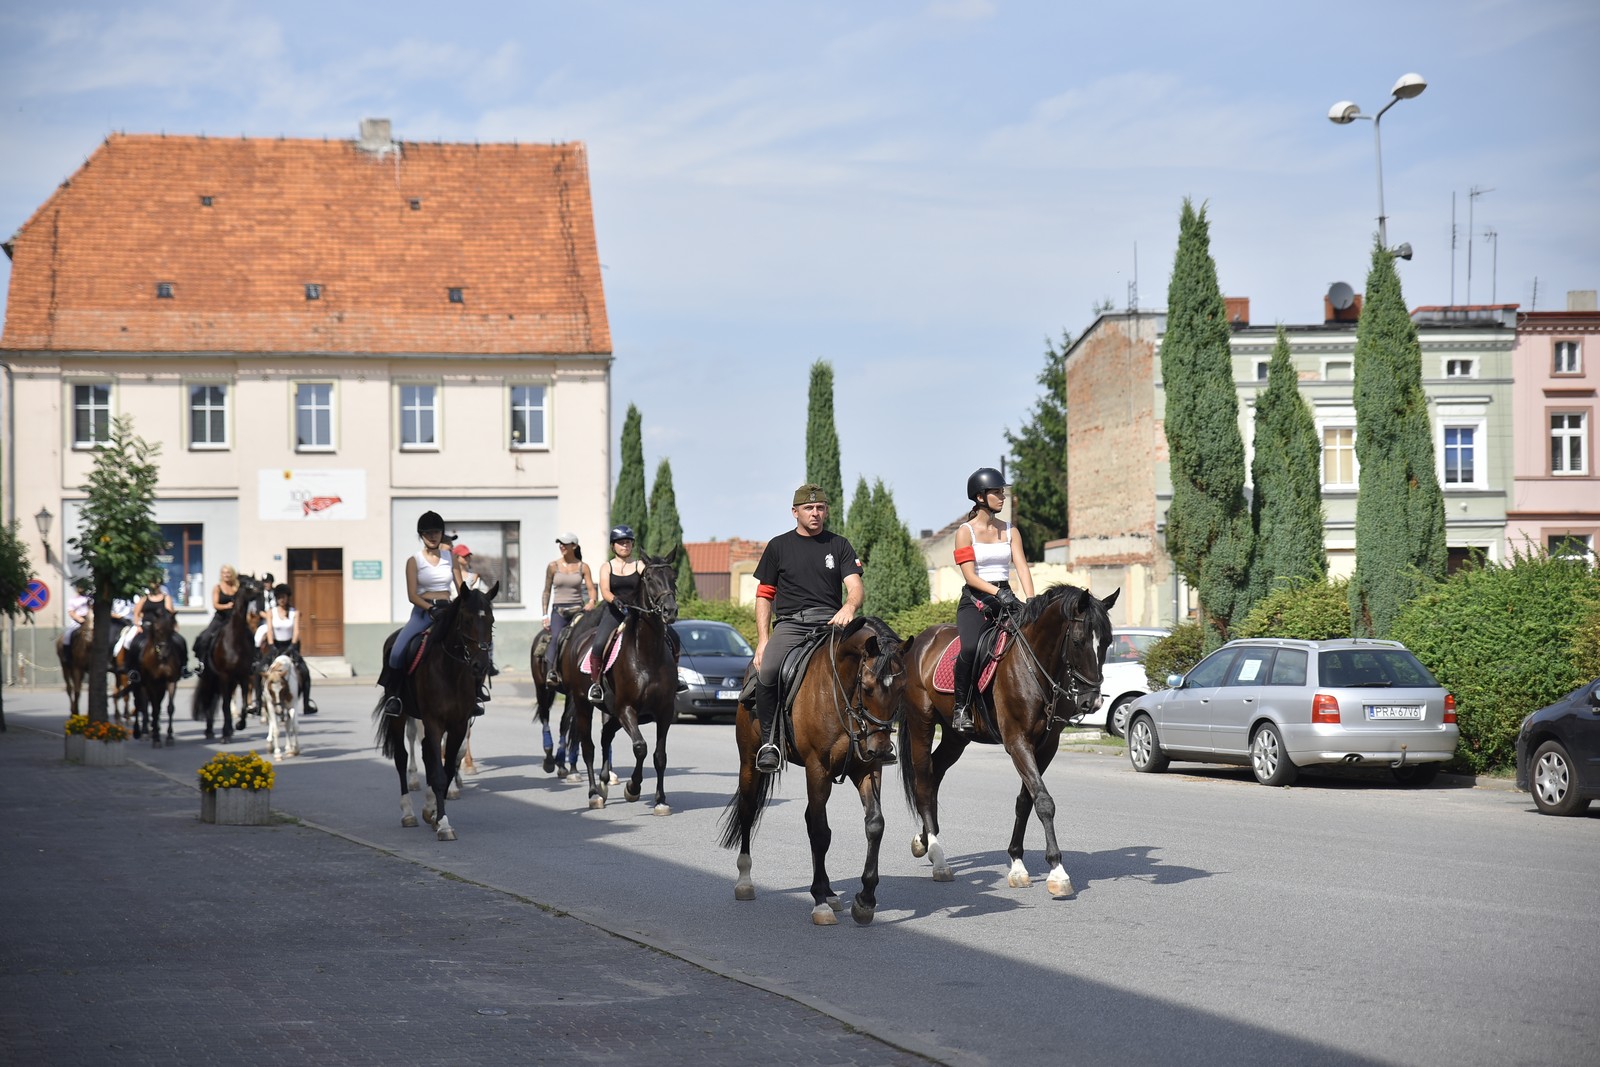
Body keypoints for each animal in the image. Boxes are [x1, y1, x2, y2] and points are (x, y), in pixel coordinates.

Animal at [190, 575, 262, 742]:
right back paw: (210, 730)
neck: (235, 639)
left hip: (231, 681)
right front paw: (225, 734)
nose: (261, 589)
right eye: (248, 585)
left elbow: (243, 704)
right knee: (210, 700)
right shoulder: (224, 676)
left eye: (255, 582)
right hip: (210, 678)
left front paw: (239, 725)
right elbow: (225, 705)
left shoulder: (243, 676)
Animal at [376, 585, 496, 844]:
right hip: (400, 717)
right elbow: (439, 773)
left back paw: (426, 809)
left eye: (491, 620)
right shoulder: (434, 722)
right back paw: (408, 813)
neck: (450, 671)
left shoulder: (459, 724)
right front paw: (444, 825)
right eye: (466, 619)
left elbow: (447, 768)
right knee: (401, 757)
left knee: (426, 754)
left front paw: (435, 815)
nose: (480, 665)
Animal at [563, 556, 681, 812]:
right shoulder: (627, 709)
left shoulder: (665, 711)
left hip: (613, 713)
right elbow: (640, 747)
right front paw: (633, 788)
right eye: (649, 578)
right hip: (583, 705)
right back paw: (594, 794)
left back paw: (604, 782)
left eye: (673, 577)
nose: (670, 610)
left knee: (606, 735)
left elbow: (660, 756)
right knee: (588, 747)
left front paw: (661, 800)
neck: (647, 655)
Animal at [720, 617, 908, 927]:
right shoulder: (817, 769)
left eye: (902, 689)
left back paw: (830, 891)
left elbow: (874, 825)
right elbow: (821, 832)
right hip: (749, 762)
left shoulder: (867, 768)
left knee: (810, 818)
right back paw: (745, 881)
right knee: (748, 810)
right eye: (867, 687)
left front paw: (865, 900)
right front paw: (820, 903)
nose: (881, 749)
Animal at [902, 585, 1113, 902]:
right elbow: (1044, 801)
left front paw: (1017, 865)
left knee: (935, 772)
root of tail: (922, 640)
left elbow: (1027, 800)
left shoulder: (1046, 746)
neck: (1034, 666)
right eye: (1079, 641)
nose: (1093, 702)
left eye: (1108, 643)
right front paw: (1057, 872)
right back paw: (939, 859)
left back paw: (925, 840)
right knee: (925, 780)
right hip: (921, 724)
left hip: (955, 737)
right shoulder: (1017, 741)